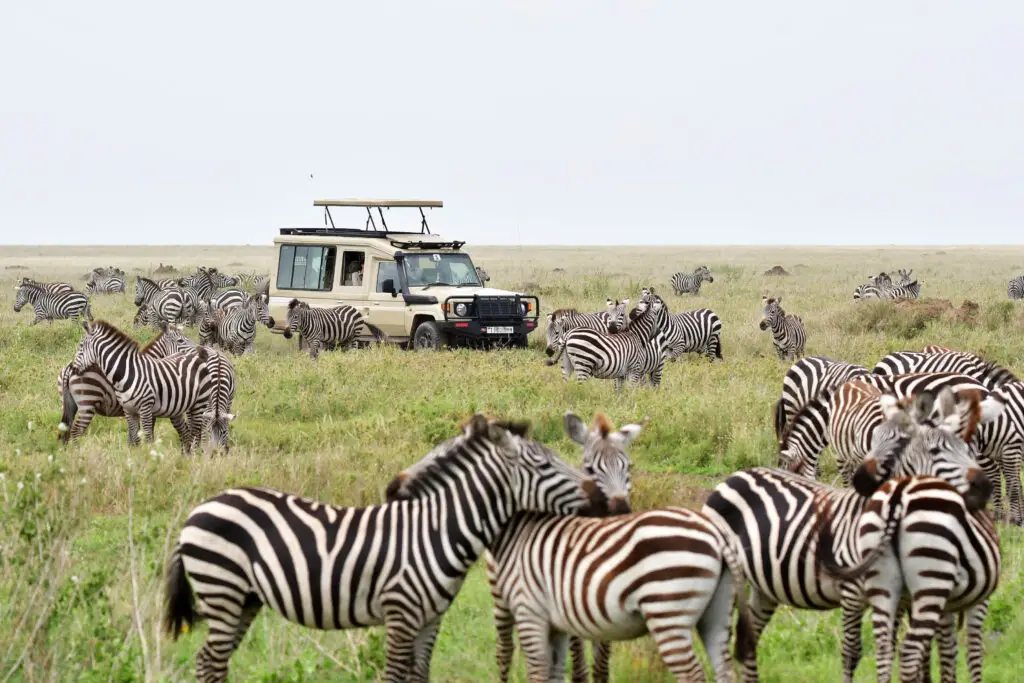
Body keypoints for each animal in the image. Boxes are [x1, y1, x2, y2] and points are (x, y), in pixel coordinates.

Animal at [68, 320, 213, 453]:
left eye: (81, 345)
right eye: (180, 341)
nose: (204, 353)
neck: (129, 372)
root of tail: (67, 371)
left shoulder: (146, 409)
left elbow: (143, 436)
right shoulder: (133, 410)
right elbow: (138, 436)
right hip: (86, 405)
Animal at [162, 414, 604, 683]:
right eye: (544, 466)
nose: (602, 498)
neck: (436, 531)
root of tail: (197, 510)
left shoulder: (430, 619)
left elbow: (419, 675)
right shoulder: (400, 613)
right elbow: (393, 675)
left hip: (243, 599)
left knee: (212, 661)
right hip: (222, 588)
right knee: (210, 660)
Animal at [817, 475, 1000, 683]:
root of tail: (898, 494)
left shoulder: (945, 608)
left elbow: (948, 653)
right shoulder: (980, 601)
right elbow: (973, 652)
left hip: (883, 583)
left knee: (884, 649)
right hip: (931, 579)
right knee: (908, 654)